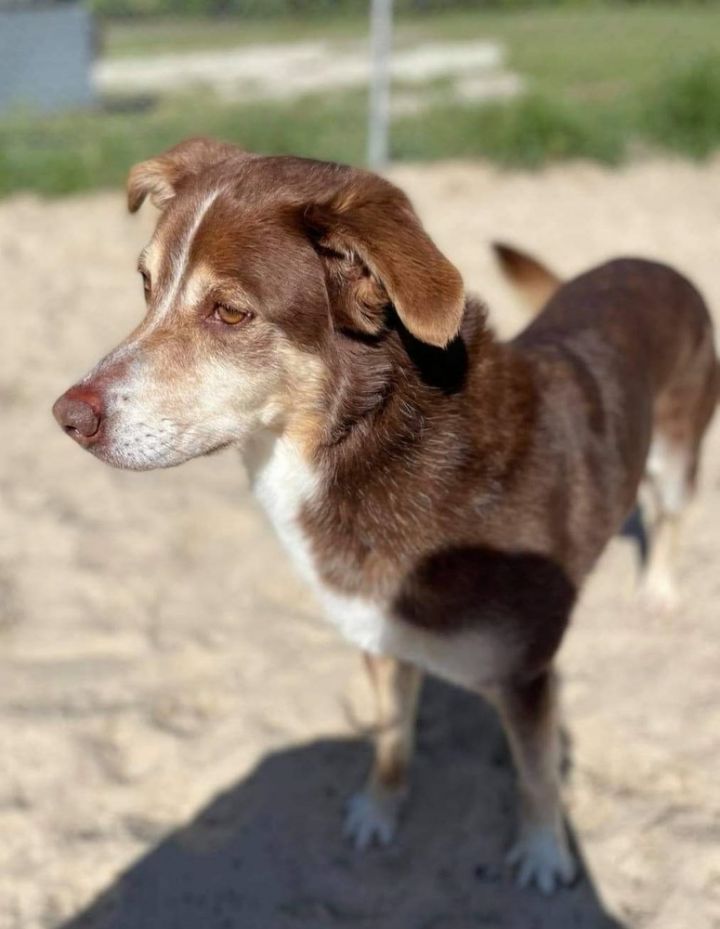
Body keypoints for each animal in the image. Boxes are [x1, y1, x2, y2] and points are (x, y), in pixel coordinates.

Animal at [52, 138, 720, 892]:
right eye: (145, 285)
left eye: (230, 313)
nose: (67, 416)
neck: (378, 445)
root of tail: (651, 262)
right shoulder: (377, 636)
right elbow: (392, 736)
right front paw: (379, 809)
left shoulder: (525, 675)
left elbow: (537, 774)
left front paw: (545, 852)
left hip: (676, 459)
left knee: (670, 517)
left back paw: (658, 591)